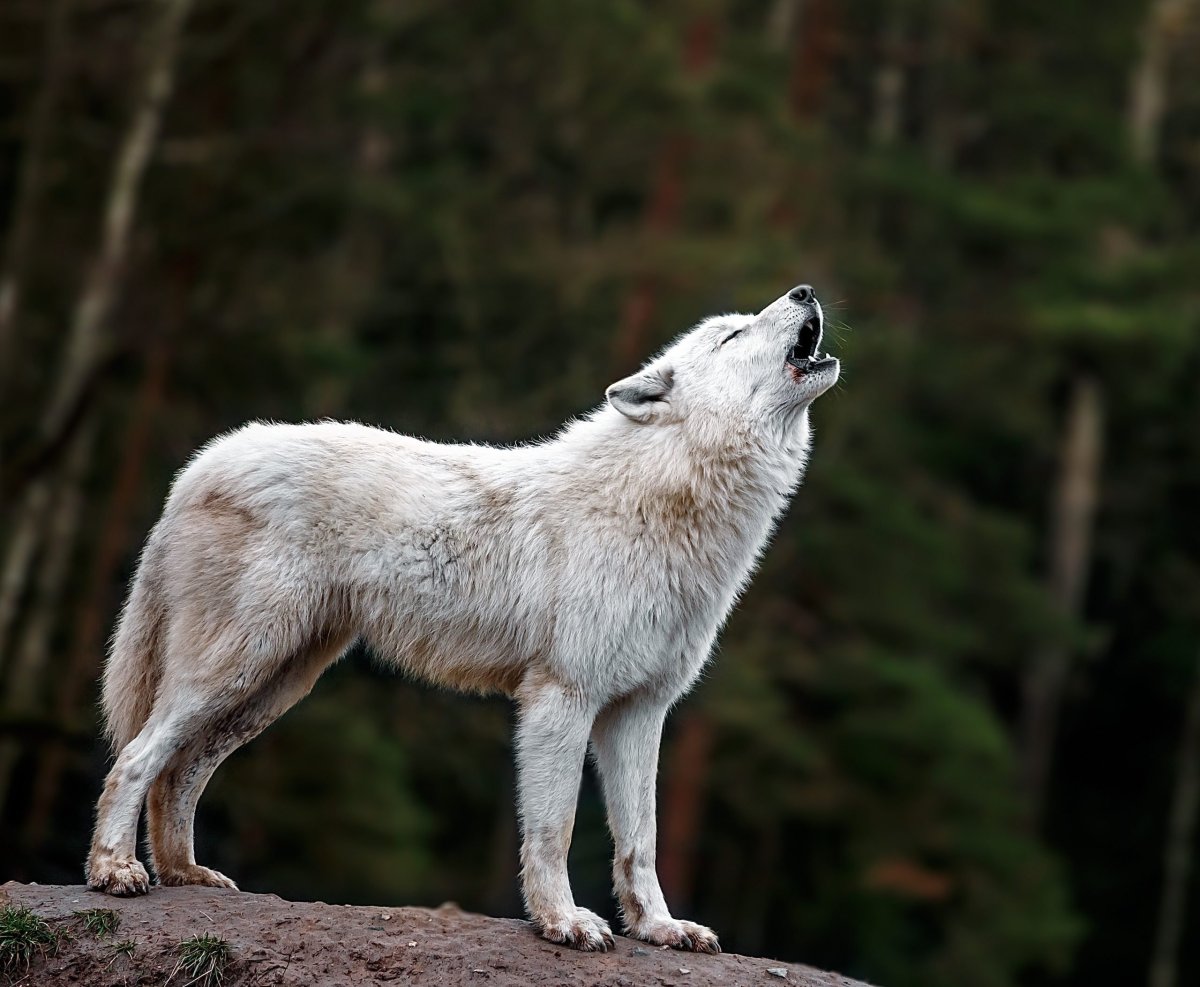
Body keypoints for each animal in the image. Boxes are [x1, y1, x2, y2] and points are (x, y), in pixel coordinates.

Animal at [86, 284, 839, 952]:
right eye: (732, 335)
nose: (806, 290)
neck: (662, 499)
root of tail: (200, 463)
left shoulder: (639, 711)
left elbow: (640, 842)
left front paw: (659, 929)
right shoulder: (561, 698)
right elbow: (555, 830)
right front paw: (563, 923)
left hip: (273, 686)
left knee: (179, 772)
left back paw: (184, 874)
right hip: (234, 667)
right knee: (135, 758)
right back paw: (115, 870)